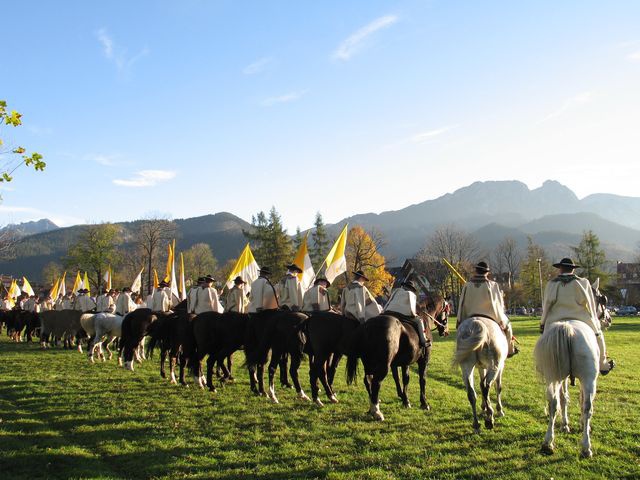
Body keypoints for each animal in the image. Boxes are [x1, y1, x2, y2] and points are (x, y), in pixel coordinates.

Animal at [344, 294, 450, 422]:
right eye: (447, 311)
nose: (445, 331)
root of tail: (367, 326)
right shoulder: (423, 361)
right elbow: (422, 380)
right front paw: (424, 403)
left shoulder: (402, 363)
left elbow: (402, 379)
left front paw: (405, 400)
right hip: (383, 366)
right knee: (376, 382)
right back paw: (376, 411)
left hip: (369, 363)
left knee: (368, 380)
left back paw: (371, 407)